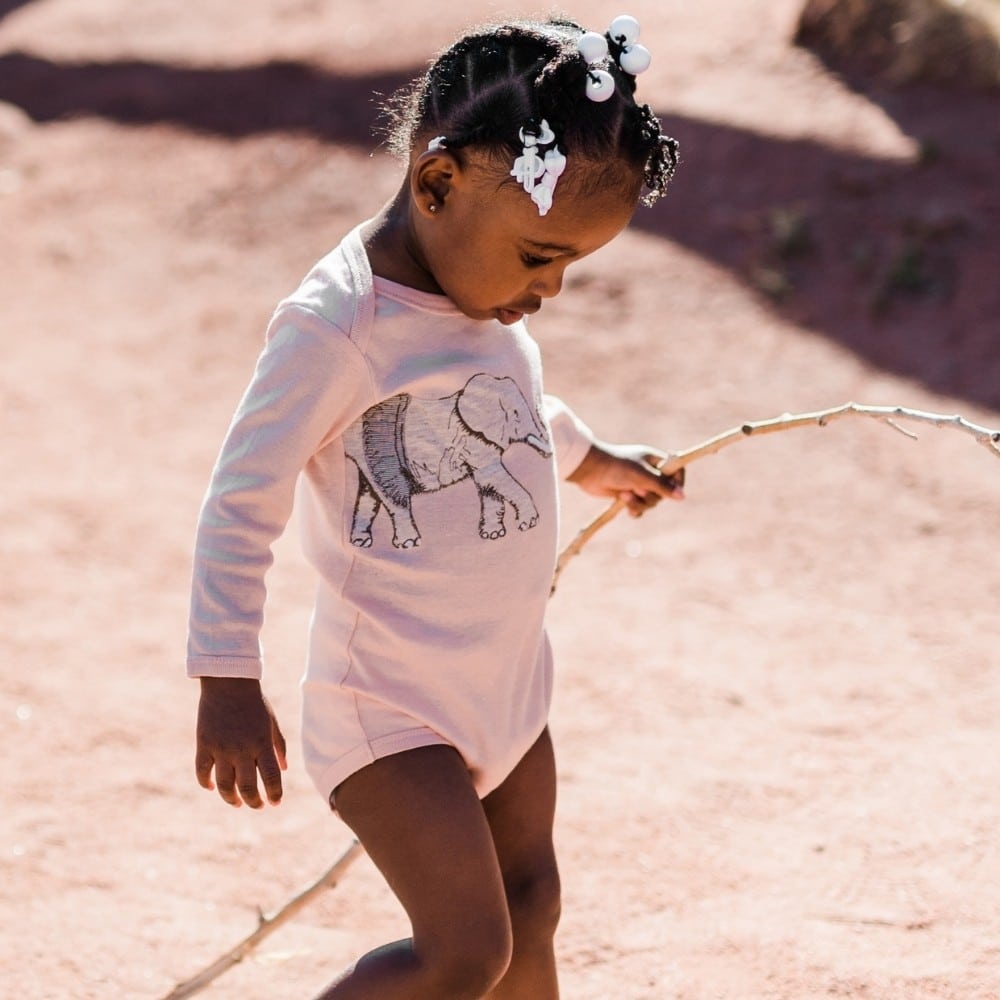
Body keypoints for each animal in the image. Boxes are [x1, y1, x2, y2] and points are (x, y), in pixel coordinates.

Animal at [343, 373, 552, 549]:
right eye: (516, 415)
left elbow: (487, 483)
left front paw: (493, 535)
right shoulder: (473, 439)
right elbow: (492, 477)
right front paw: (528, 523)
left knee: (369, 492)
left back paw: (361, 542)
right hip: (379, 446)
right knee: (392, 491)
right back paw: (408, 544)